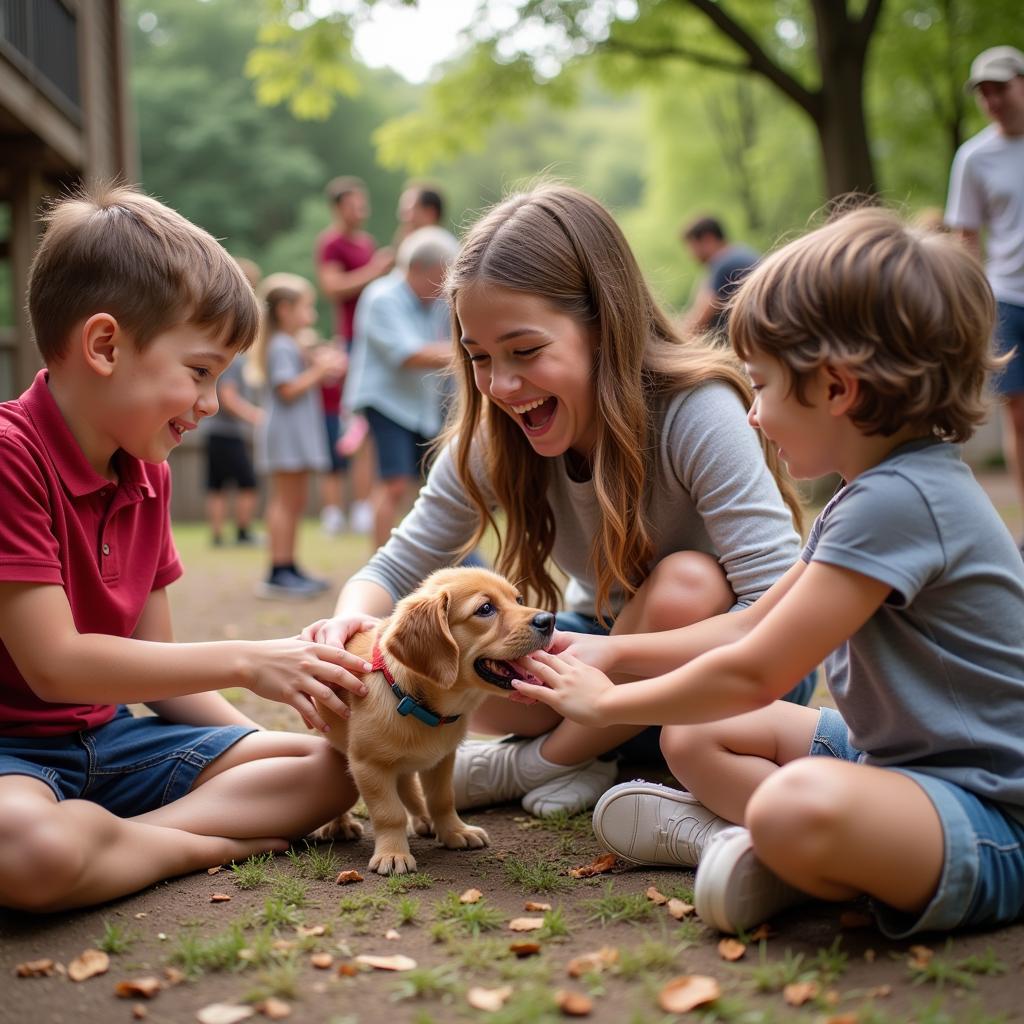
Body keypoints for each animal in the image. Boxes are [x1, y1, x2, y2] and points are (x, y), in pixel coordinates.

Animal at [313, 569, 552, 872]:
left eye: (519, 599)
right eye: (485, 608)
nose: (549, 620)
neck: (414, 701)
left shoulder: (442, 759)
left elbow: (442, 799)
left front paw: (454, 831)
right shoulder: (369, 765)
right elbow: (389, 813)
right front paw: (393, 853)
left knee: (407, 785)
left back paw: (424, 819)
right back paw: (339, 825)